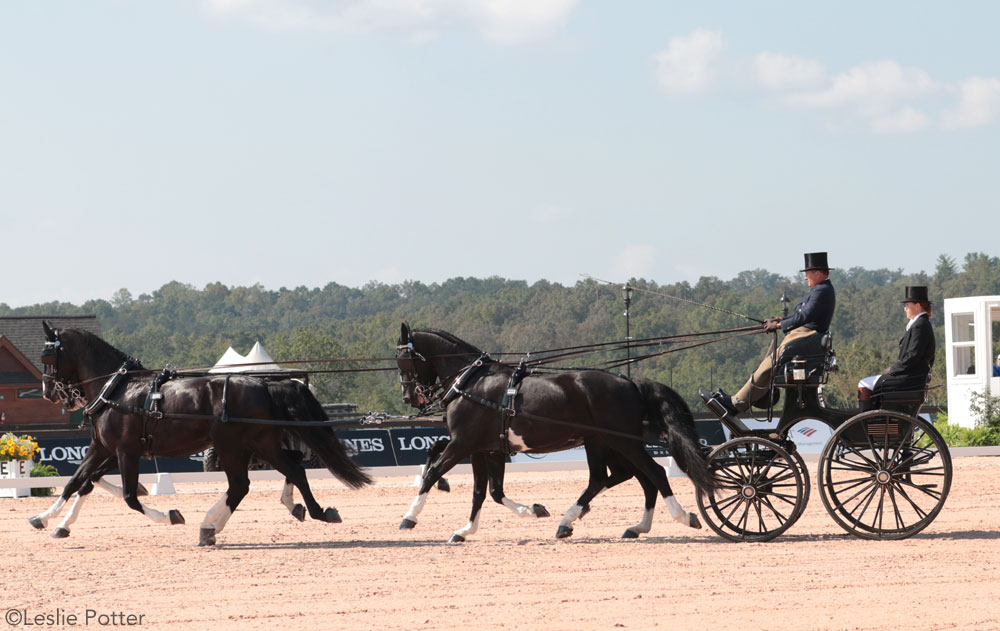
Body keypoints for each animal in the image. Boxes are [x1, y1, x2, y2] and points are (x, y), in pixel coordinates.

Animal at [34, 324, 376, 544]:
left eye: (47, 357)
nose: (49, 393)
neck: (118, 389)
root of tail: (264, 384)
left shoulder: (124, 452)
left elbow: (129, 497)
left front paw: (171, 516)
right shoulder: (104, 449)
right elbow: (78, 482)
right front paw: (49, 520)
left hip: (233, 447)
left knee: (243, 484)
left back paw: (212, 526)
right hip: (259, 444)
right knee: (291, 467)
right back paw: (302, 508)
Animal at [394, 326, 716, 544]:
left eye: (404, 359)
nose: (411, 397)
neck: (472, 383)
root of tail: (630, 382)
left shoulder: (463, 444)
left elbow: (434, 473)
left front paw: (409, 517)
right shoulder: (485, 449)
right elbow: (488, 491)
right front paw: (471, 528)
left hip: (620, 441)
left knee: (652, 474)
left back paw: (682, 516)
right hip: (603, 442)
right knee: (619, 478)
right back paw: (613, 524)